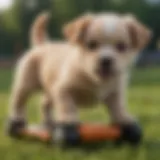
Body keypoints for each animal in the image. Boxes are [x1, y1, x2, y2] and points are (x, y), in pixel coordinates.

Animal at [7, 12, 151, 142]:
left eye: (121, 46)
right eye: (92, 45)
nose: (106, 60)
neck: (92, 77)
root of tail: (43, 45)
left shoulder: (115, 93)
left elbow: (118, 107)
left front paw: (124, 120)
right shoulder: (63, 90)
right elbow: (67, 106)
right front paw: (68, 121)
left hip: (50, 90)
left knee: (44, 103)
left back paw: (49, 122)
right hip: (26, 85)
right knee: (18, 101)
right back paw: (17, 121)